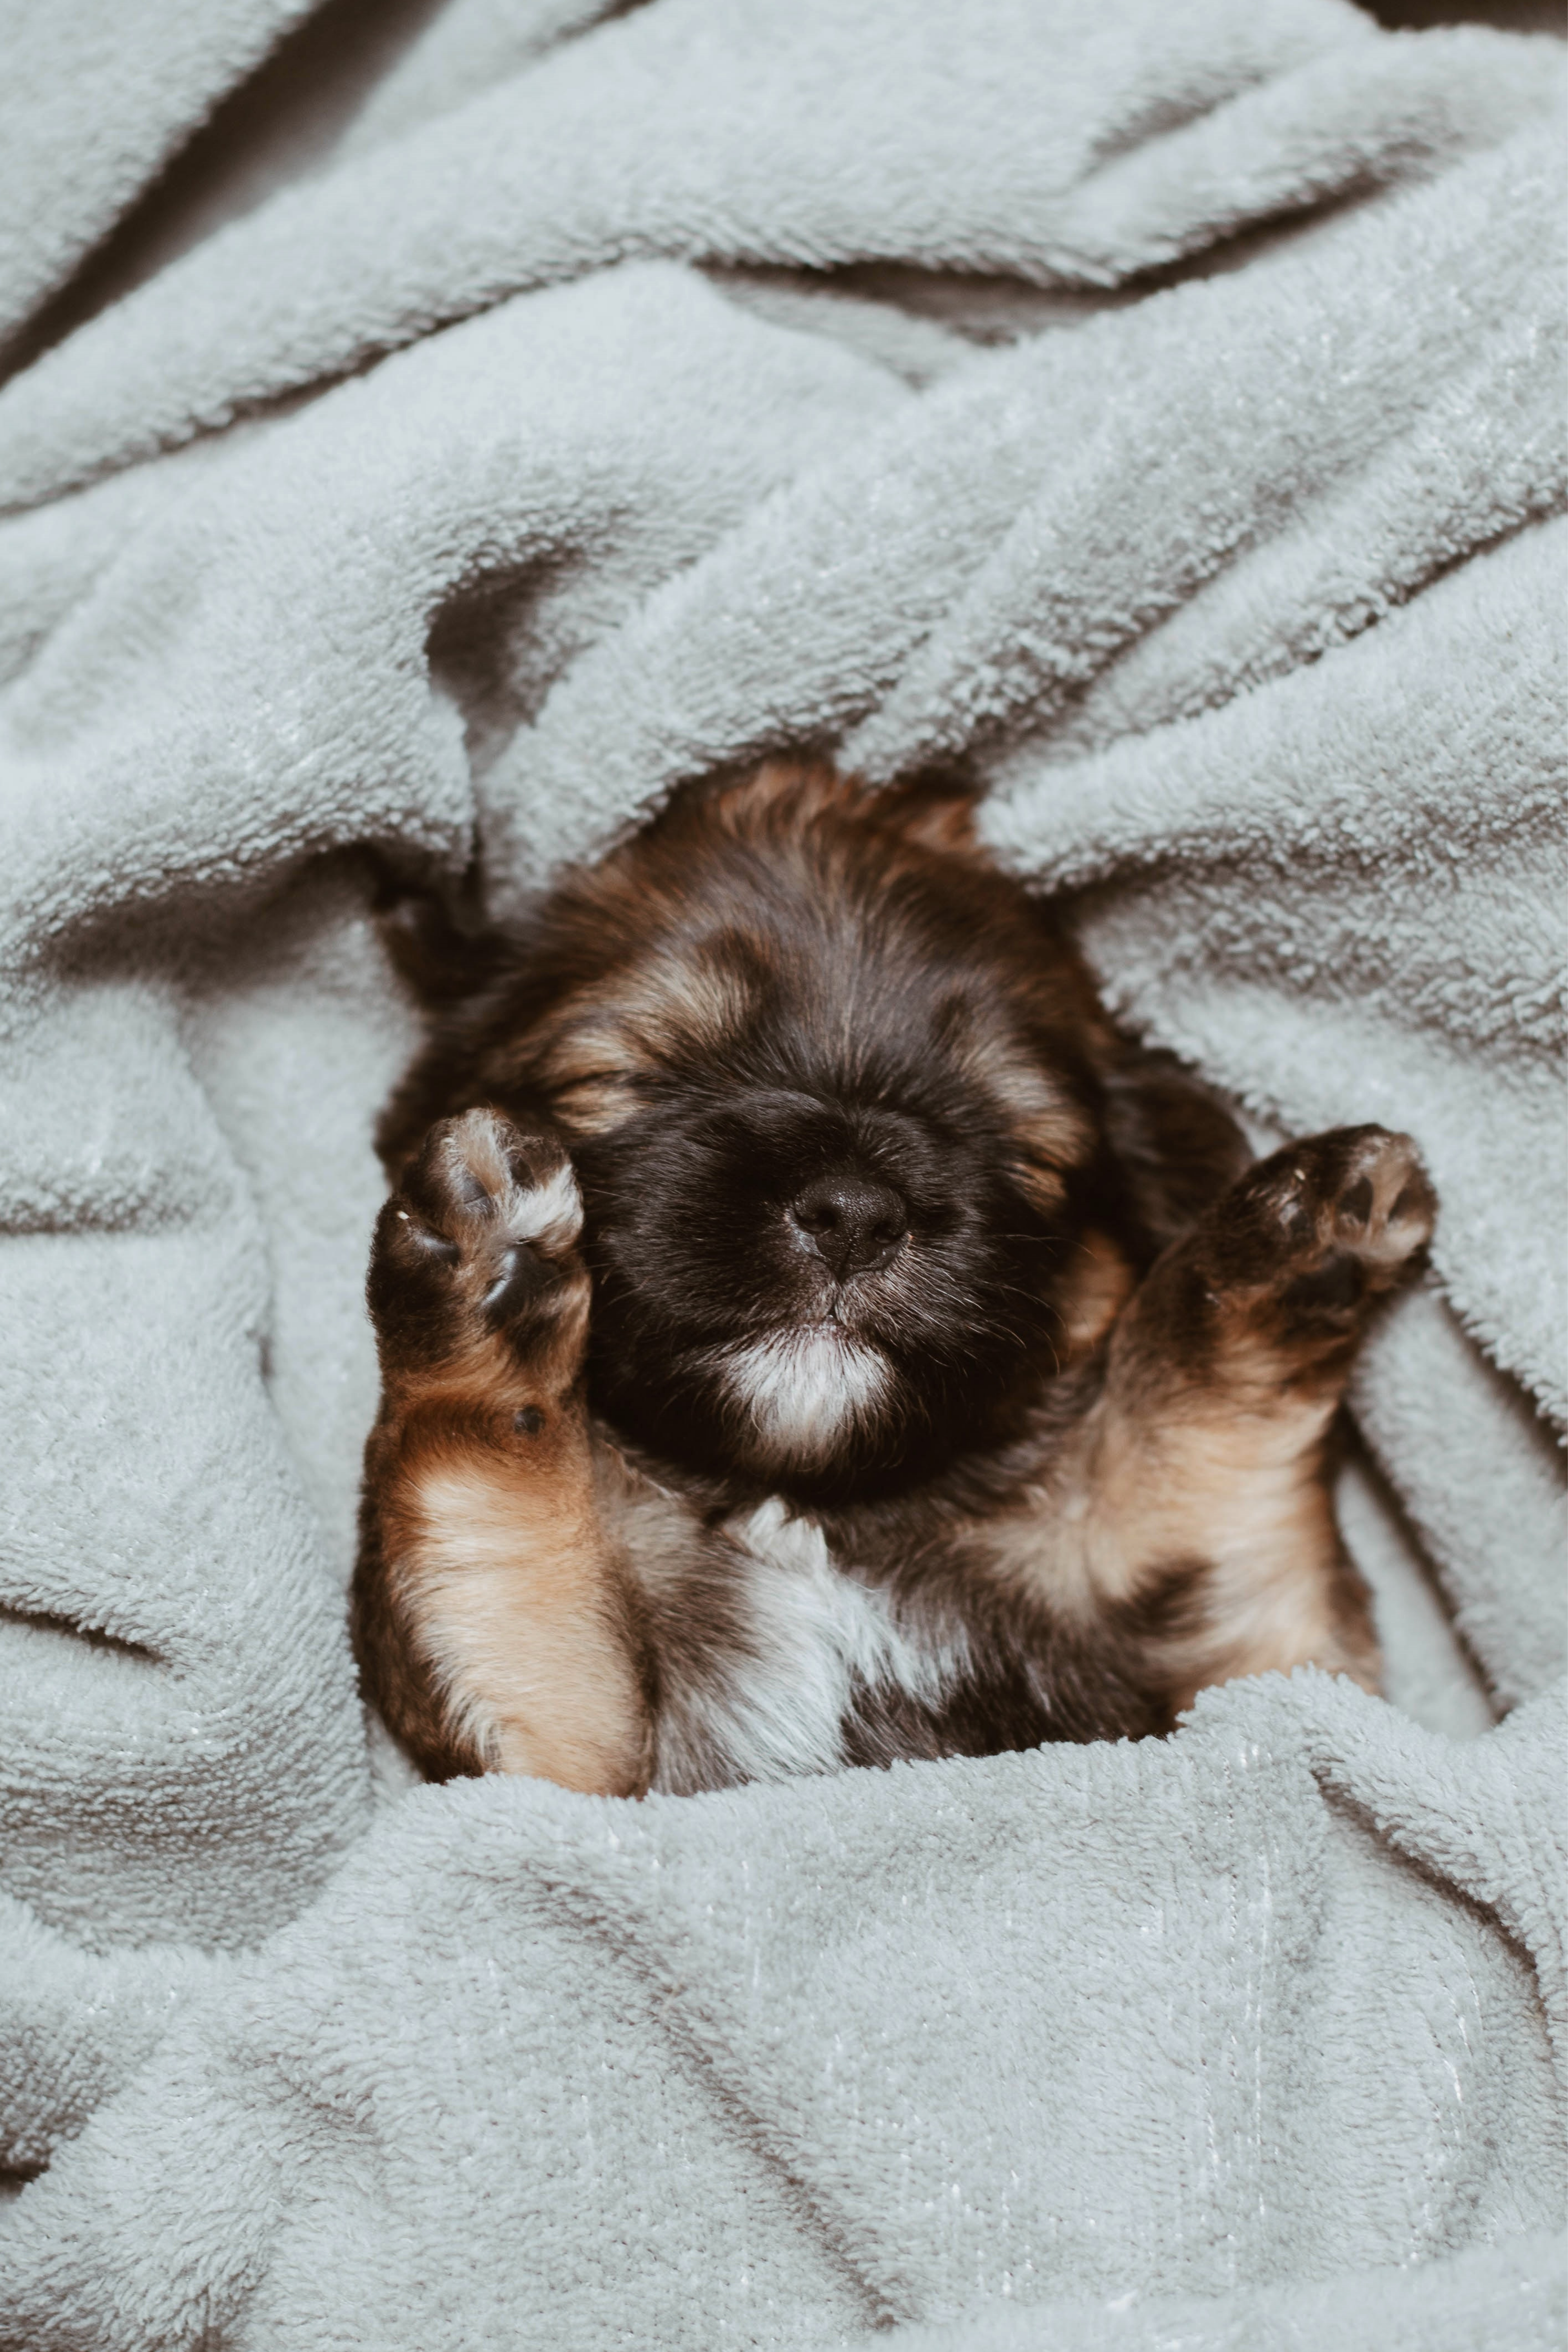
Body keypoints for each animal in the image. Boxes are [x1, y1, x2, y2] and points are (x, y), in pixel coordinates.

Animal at [355, 762, 1439, 1788]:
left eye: (1021, 1147)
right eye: (630, 1078)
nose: (853, 1213)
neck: (814, 1519)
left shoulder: (1265, 1670)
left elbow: (1210, 1475)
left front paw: (1288, 1244)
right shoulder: (557, 1760)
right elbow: (491, 1522)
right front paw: (487, 1270)